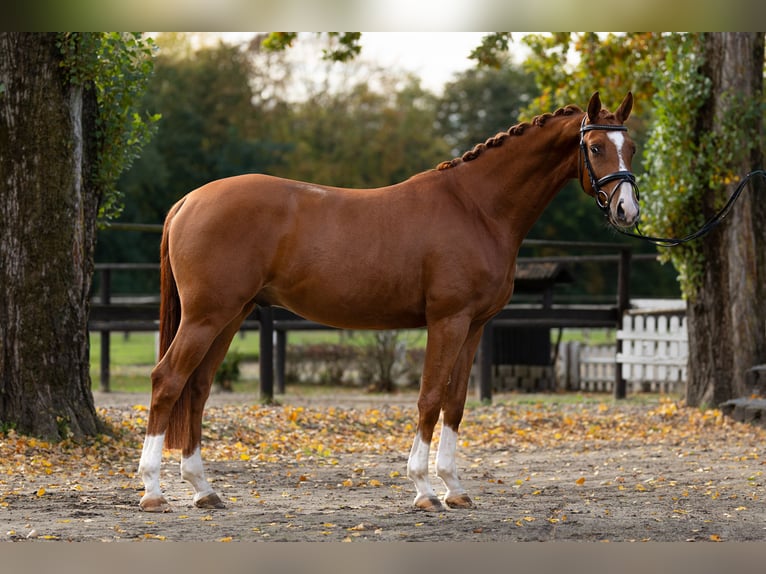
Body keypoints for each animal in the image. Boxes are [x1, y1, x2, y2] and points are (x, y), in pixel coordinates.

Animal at [138, 91, 638, 513]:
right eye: (595, 147)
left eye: (630, 148)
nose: (626, 211)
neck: (476, 208)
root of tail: (188, 201)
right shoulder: (447, 320)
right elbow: (430, 398)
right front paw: (423, 490)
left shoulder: (474, 325)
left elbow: (456, 402)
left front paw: (454, 488)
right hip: (206, 317)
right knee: (168, 381)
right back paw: (153, 491)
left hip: (229, 316)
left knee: (197, 388)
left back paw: (203, 489)